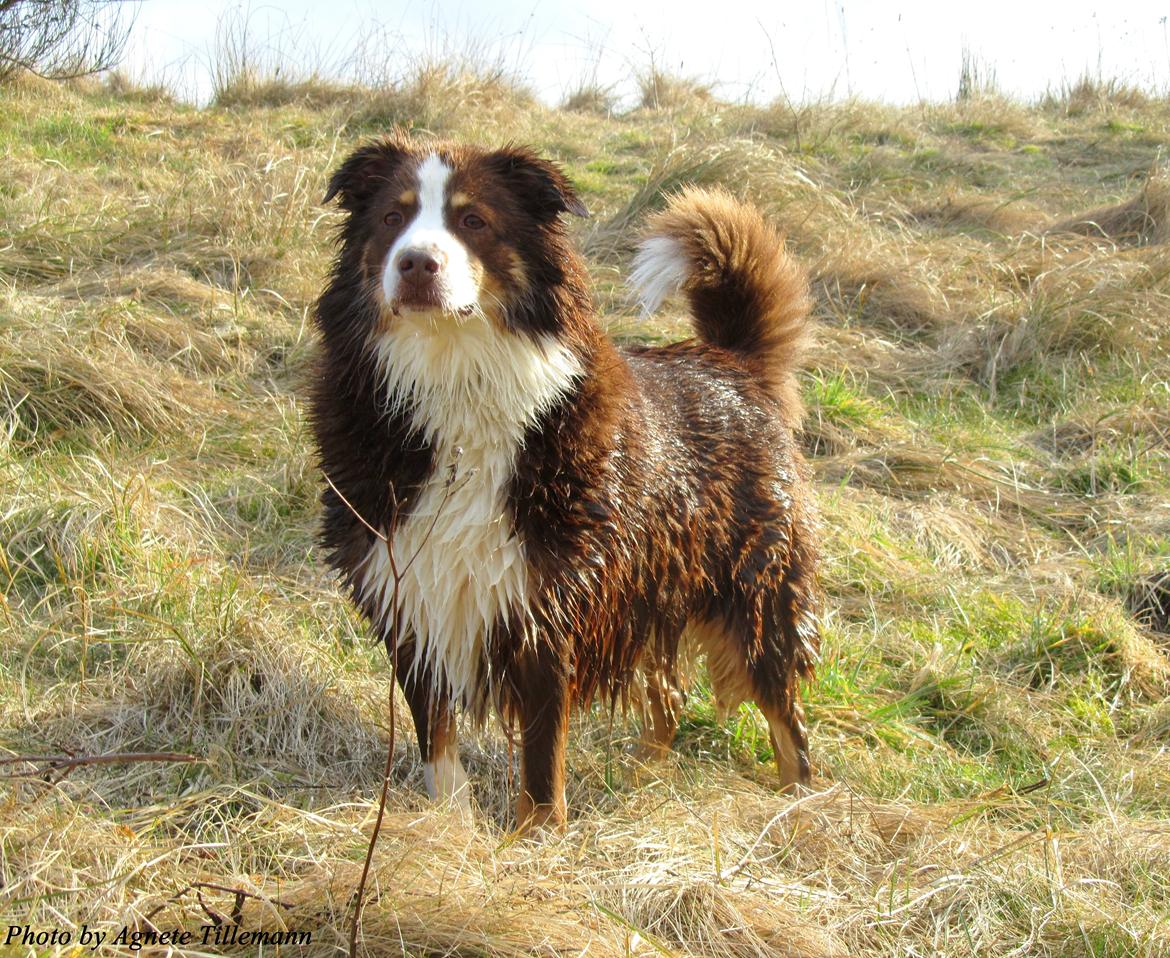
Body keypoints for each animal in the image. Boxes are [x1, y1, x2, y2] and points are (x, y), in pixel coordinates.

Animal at [311, 135, 823, 832]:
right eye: (393, 217)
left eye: (474, 220)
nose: (416, 264)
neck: (453, 379)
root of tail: (733, 363)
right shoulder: (411, 594)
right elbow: (436, 738)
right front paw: (450, 827)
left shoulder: (548, 604)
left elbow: (540, 757)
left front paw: (537, 837)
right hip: (649, 590)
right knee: (667, 698)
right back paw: (640, 783)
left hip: (756, 595)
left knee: (786, 720)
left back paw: (806, 809)